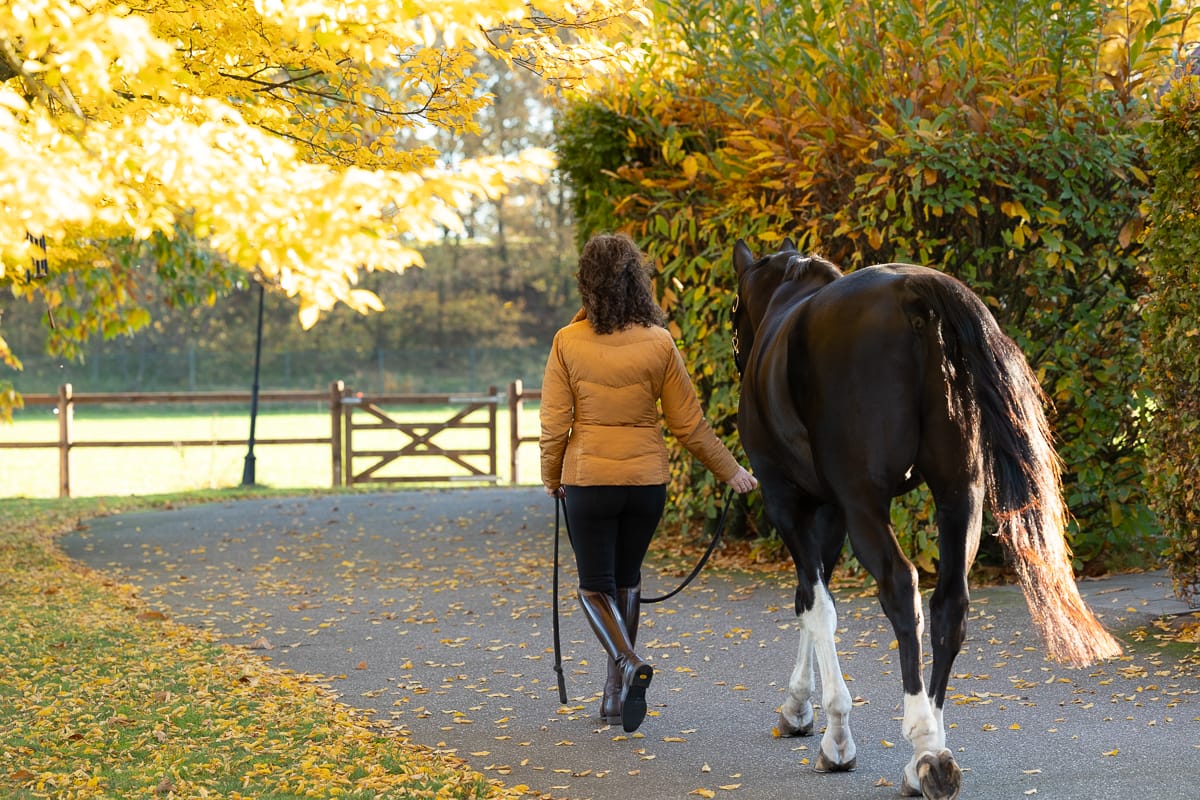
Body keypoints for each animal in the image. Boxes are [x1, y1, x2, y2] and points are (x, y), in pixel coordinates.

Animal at [730, 238, 1122, 800]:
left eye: (734, 311)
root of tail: (915, 291)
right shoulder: (828, 511)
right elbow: (811, 599)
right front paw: (799, 708)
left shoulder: (791, 502)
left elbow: (817, 607)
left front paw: (833, 734)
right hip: (961, 496)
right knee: (949, 604)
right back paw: (931, 752)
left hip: (866, 503)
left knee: (901, 587)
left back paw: (922, 743)